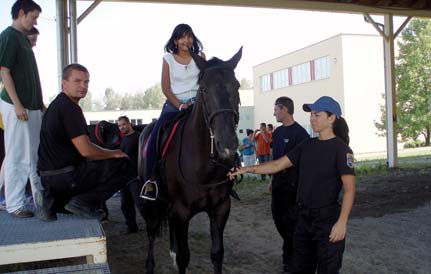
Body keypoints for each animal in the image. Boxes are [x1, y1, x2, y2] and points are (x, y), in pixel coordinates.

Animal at [140, 47, 245, 274]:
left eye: (237, 86)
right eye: (203, 89)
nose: (227, 147)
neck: (205, 166)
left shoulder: (220, 209)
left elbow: (217, 254)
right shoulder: (181, 212)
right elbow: (184, 258)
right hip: (150, 204)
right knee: (151, 231)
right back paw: (150, 265)